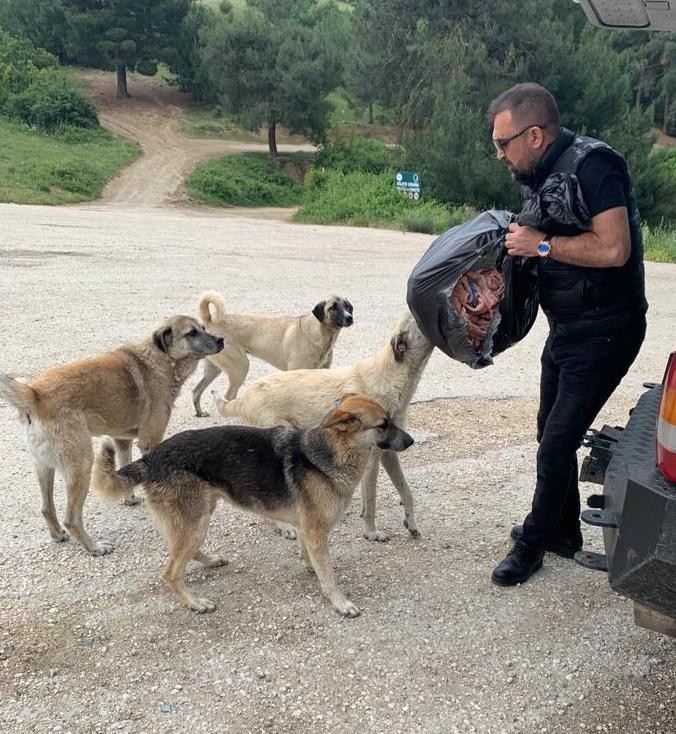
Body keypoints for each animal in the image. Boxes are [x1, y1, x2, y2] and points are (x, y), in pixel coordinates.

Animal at [0, 316, 223, 556]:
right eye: (191, 333)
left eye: (203, 328)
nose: (221, 340)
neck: (160, 359)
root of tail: (35, 395)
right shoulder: (150, 440)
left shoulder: (122, 441)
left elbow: (125, 466)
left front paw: (129, 497)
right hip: (81, 465)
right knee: (72, 519)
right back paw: (94, 547)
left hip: (44, 466)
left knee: (46, 507)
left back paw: (57, 534)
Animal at [93, 394, 414, 620]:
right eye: (383, 424)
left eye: (390, 420)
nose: (411, 440)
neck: (326, 453)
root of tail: (150, 458)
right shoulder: (315, 530)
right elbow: (329, 573)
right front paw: (340, 602)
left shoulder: (306, 529)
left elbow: (310, 558)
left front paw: (309, 567)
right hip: (195, 521)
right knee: (171, 572)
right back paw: (195, 602)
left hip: (198, 517)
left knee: (185, 552)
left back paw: (210, 561)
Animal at [187, 288, 352, 414]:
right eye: (332, 307)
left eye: (347, 306)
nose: (349, 317)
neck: (319, 333)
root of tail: (210, 320)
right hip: (240, 367)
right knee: (229, 397)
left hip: (214, 369)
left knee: (196, 391)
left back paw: (199, 413)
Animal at [217, 314, 436, 544]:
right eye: (416, 320)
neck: (390, 376)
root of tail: (243, 397)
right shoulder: (371, 460)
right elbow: (371, 501)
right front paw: (371, 532)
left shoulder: (388, 452)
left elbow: (406, 491)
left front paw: (411, 523)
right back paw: (283, 526)